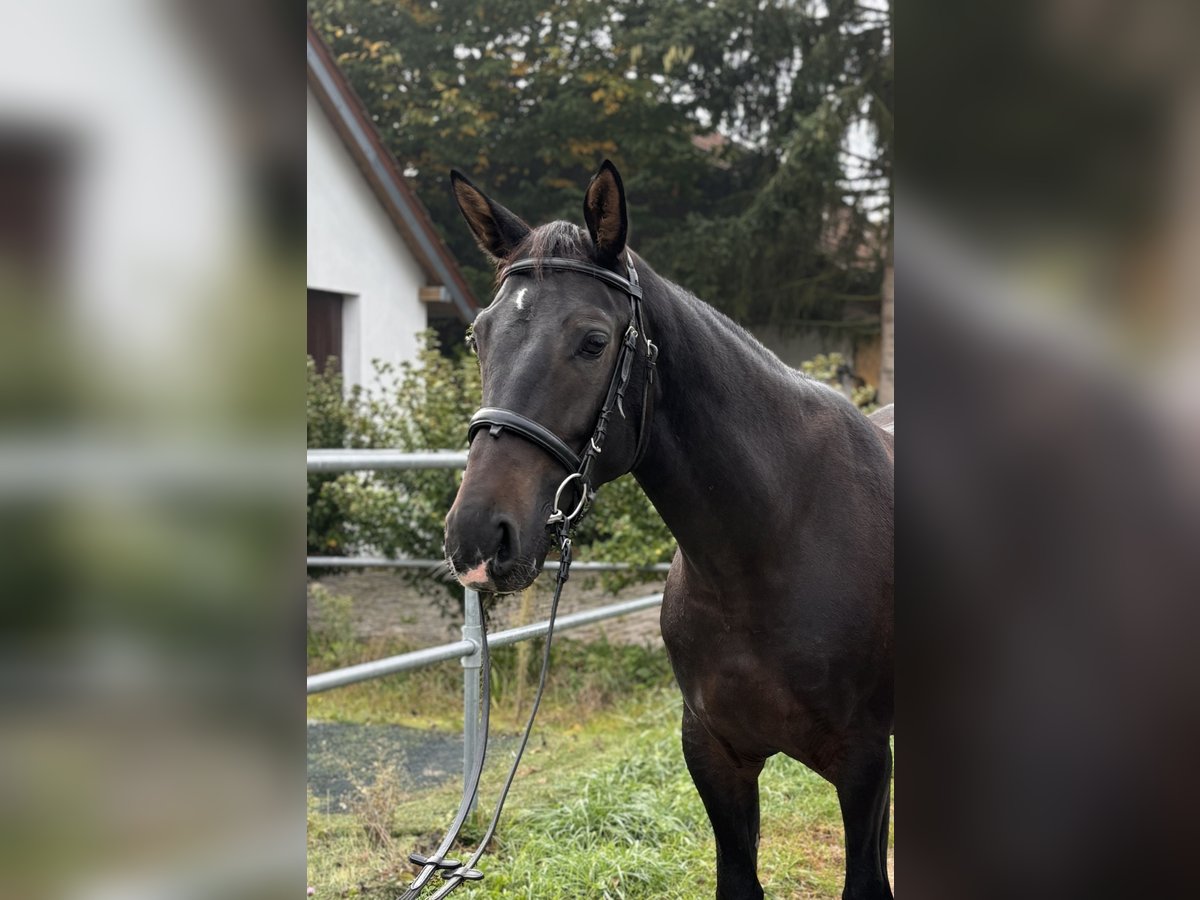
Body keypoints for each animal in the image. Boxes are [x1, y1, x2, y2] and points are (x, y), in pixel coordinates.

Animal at [441, 158, 892, 897]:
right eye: (480, 335)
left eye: (594, 341)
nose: (478, 537)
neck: (773, 549)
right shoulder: (715, 755)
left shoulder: (864, 765)